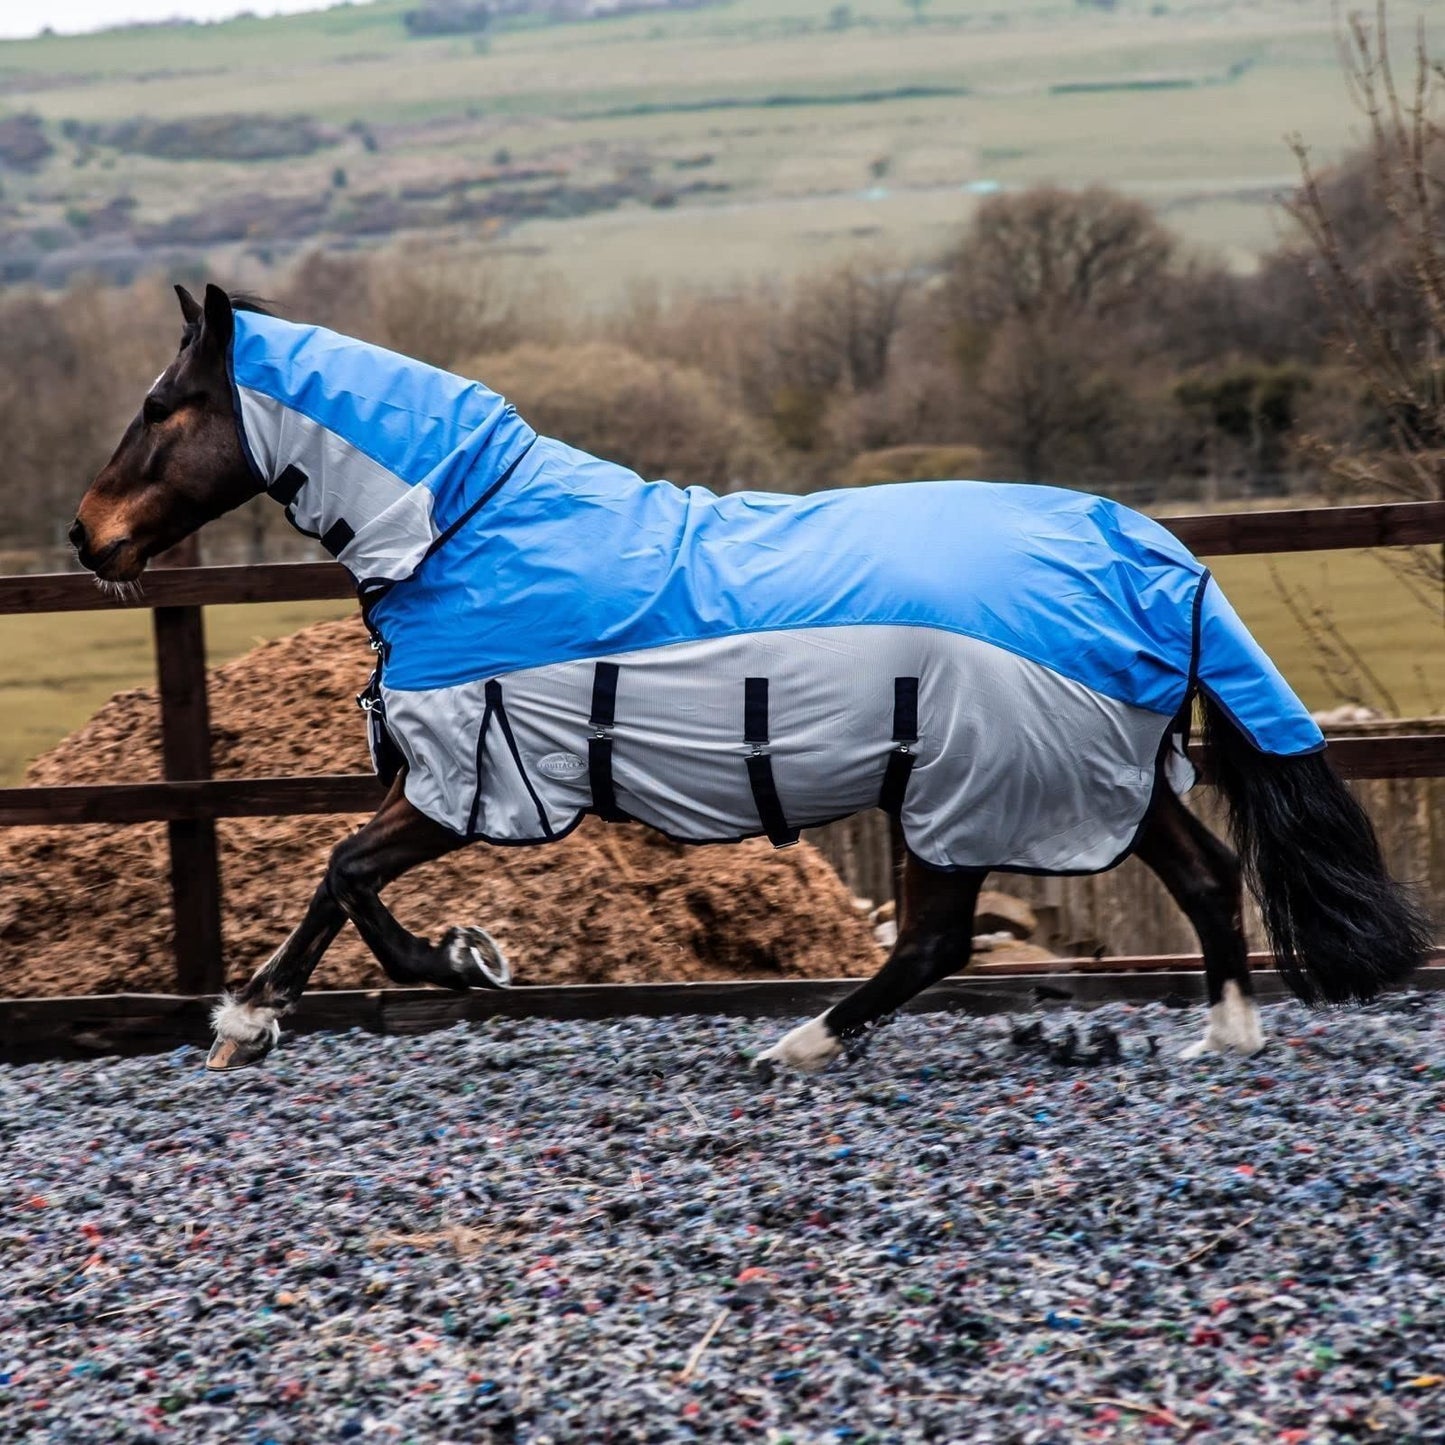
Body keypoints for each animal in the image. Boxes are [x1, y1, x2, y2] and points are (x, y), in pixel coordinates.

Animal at [70, 284, 1432, 1073]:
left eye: (161, 402)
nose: (86, 539)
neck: (462, 525)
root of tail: (1148, 551)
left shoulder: (477, 774)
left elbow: (345, 871)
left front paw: (414, 973)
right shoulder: (465, 776)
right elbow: (338, 875)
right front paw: (317, 998)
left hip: (969, 786)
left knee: (936, 937)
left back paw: (800, 1042)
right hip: (1091, 773)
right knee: (1199, 876)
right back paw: (1223, 1031)